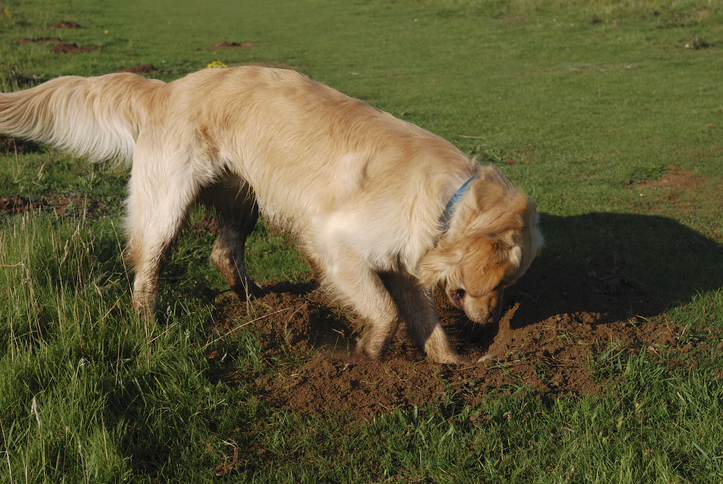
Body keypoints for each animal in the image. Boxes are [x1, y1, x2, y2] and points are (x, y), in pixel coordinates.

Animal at [1, 65, 544, 364]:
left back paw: (255, 303)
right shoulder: (335, 244)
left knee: (223, 253)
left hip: (245, 199)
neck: (449, 200)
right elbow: (386, 312)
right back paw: (148, 326)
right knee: (147, 269)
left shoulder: (404, 264)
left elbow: (423, 318)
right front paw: (367, 355)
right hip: (167, 205)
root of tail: (168, 89)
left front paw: (452, 363)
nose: (492, 321)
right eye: (499, 283)